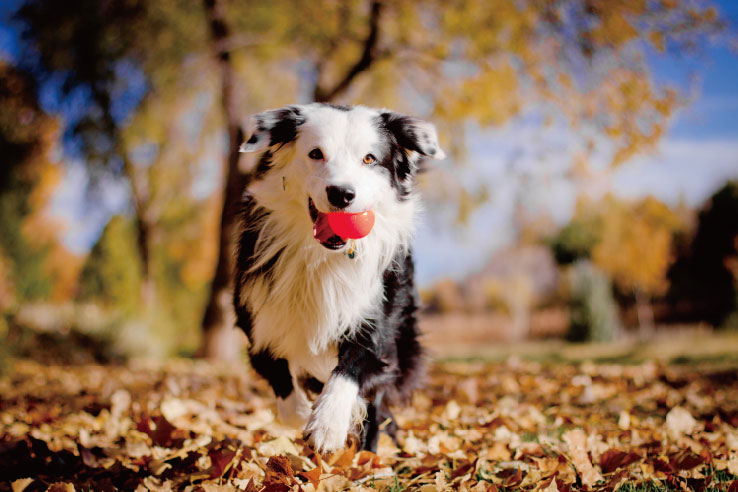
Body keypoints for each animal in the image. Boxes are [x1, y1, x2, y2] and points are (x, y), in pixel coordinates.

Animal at [233, 104, 446, 454]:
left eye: (369, 159)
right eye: (316, 153)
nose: (342, 194)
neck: (324, 257)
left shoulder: (376, 318)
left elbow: (351, 368)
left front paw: (327, 425)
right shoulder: (257, 319)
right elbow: (279, 379)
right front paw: (303, 411)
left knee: (377, 403)